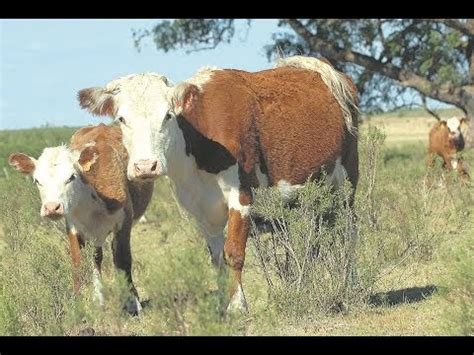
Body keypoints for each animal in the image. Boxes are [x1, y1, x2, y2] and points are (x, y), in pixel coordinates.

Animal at [78, 55, 360, 312]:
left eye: (167, 116)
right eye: (121, 119)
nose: (146, 166)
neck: (197, 142)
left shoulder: (240, 196)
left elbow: (233, 252)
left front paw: (238, 307)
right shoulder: (200, 207)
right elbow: (216, 258)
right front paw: (225, 305)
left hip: (347, 179)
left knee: (348, 230)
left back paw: (350, 283)